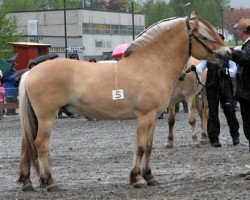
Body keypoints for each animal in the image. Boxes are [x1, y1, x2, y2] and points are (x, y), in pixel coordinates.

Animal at [17, 11, 231, 191]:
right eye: (204, 36)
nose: (228, 54)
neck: (151, 64)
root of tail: (30, 73)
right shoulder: (144, 117)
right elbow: (140, 147)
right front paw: (137, 178)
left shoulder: (153, 117)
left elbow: (149, 147)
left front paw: (149, 176)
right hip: (46, 117)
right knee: (40, 145)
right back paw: (49, 182)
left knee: (27, 146)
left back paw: (27, 182)